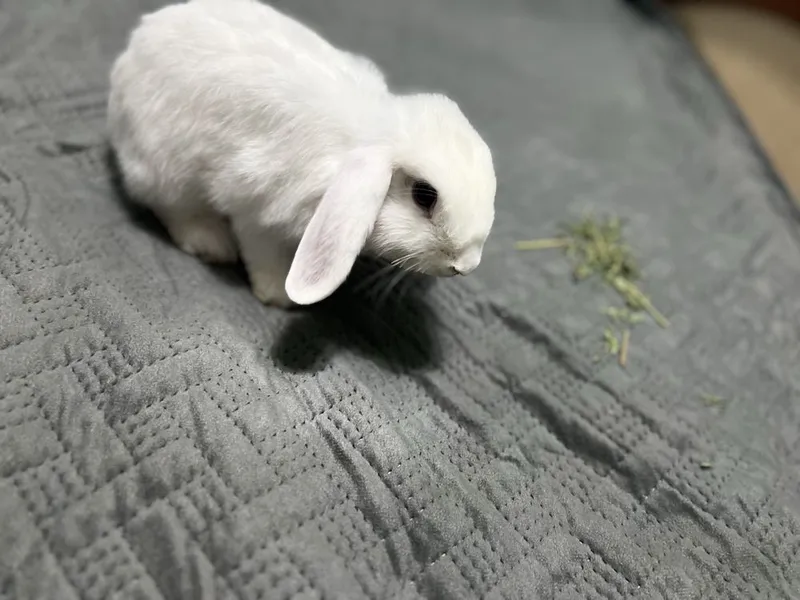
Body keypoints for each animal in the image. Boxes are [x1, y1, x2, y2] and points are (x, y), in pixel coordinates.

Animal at [107, 0, 496, 308]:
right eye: (423, 196)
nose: (466, 265)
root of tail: (131, 52)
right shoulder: (259, 213)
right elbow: (264, 255)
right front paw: (279, 298)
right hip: (165, 168)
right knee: (171, 207)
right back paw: (211, 243)